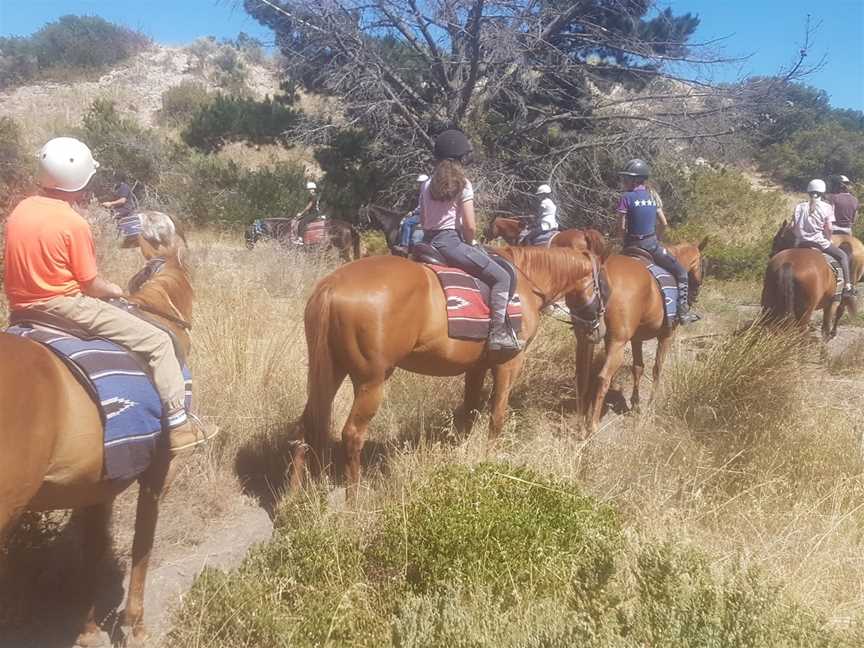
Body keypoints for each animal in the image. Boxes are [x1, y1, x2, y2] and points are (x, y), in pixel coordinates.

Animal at [1, 213, 194, 644]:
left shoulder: (96, 485)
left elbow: (93, 552)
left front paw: (88, 628)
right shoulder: (155, 475)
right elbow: (142, 546)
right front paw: (135, 625)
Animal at [294, 246, 604, 494]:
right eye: (603, 285)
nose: (597, 330)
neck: (527, 282)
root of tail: (333, 285)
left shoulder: (476, 368)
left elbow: (469, 415)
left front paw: (461, 457)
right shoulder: (509, 364)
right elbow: (497, 417)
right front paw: (488, 460)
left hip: (331, 372)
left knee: (307, 422)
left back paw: (295, 496)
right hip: (372, 382)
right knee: (352, 435)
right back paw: (354, 498)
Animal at [572, 238, 708, 436]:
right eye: (702, 264)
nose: (695, 294)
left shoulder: (636, 339)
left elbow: (638, 368)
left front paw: (635, 404)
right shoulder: (667, 336)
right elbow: (657, 369)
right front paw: (651, 405)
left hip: (585, 338)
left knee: (583, 374)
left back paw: (581, 421)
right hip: (617, 344)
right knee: (603, 377)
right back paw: (593, 425)